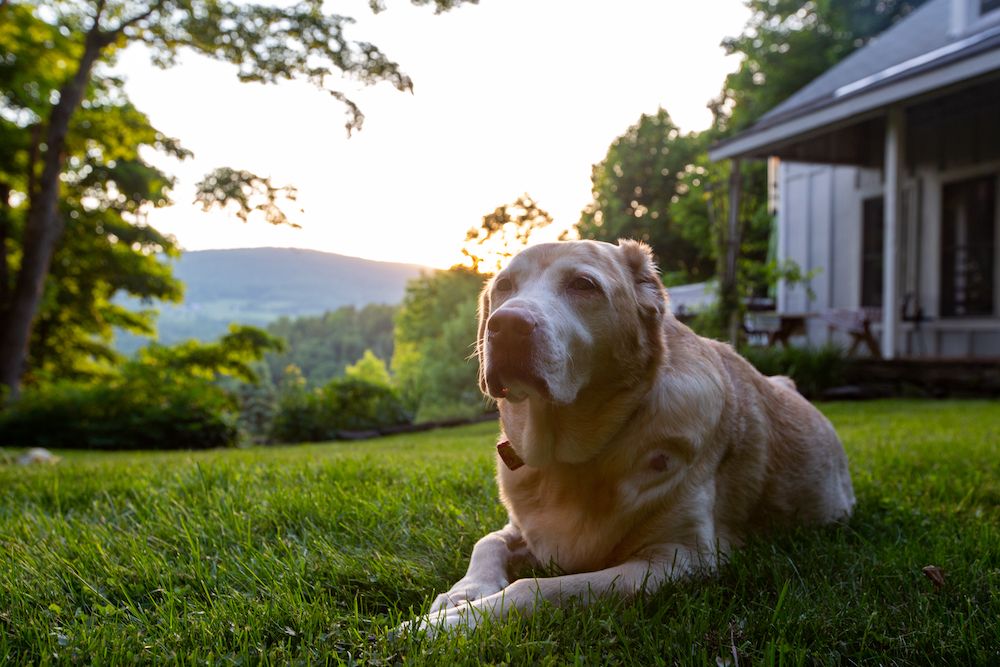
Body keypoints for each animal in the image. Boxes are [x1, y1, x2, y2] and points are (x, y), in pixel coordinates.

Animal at [404, 239, 852, 632]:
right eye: (503, 287)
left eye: (583, 284)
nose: (507, 325)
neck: (570, 458)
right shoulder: (522, 528)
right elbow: (487, 541)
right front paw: (463, 593)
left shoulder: (678, 560)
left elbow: (536, 588)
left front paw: (442, 626)